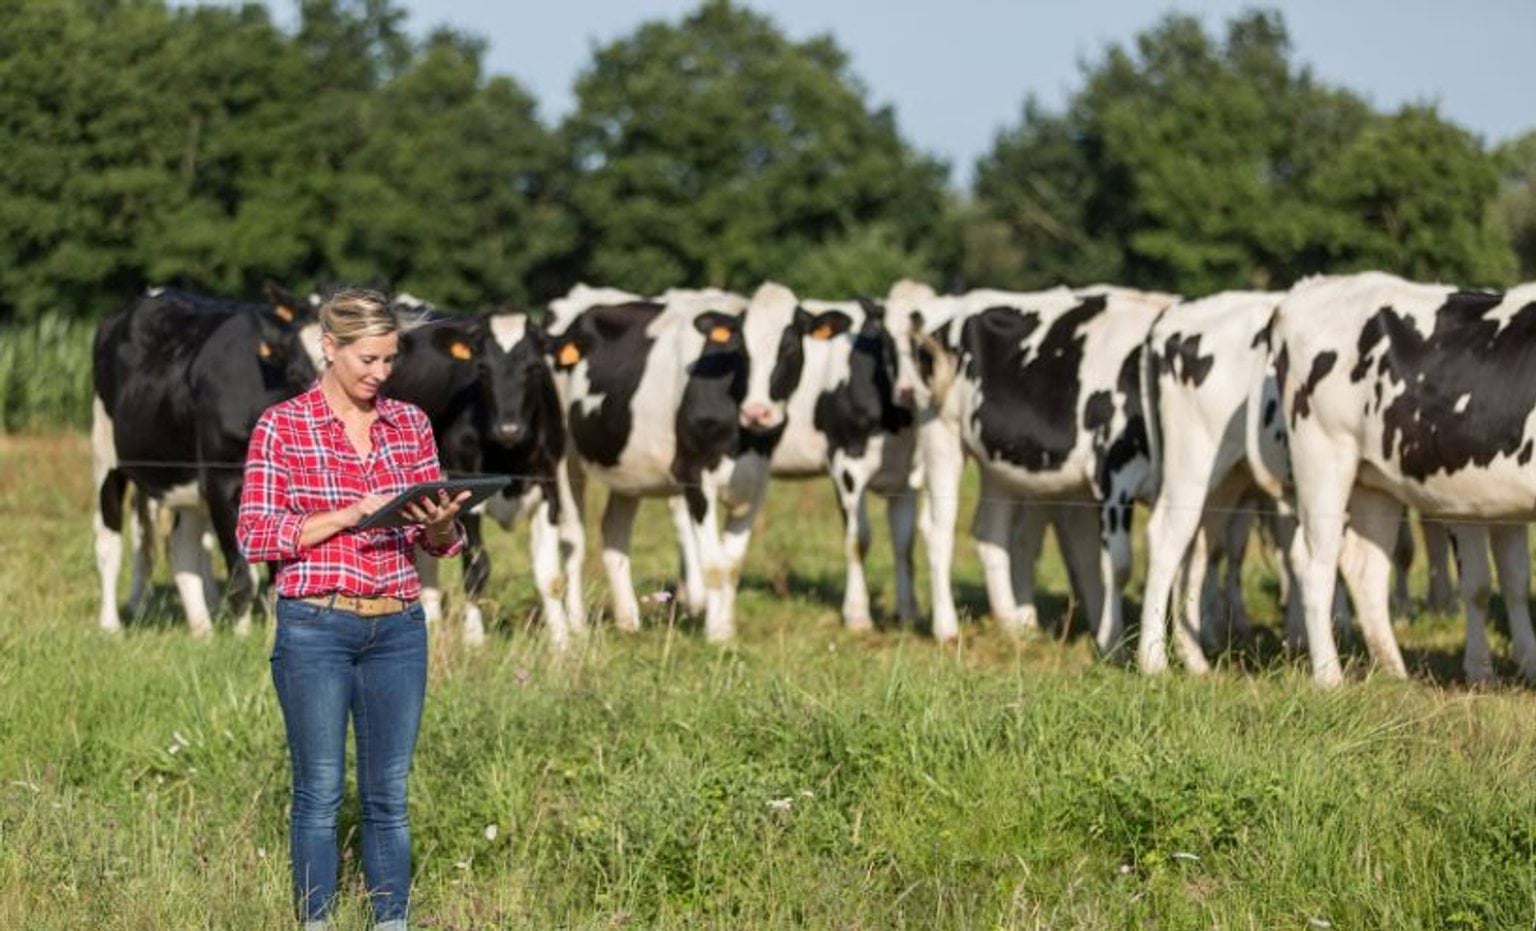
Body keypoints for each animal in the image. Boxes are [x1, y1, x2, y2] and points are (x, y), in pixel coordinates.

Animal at [92, 284, 318, 636]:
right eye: (297, 374)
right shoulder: (220, 482)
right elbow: (242, 575)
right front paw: (242, 636)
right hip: (106, 454)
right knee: (109, 542)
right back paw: (111, 625)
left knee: (181, 547)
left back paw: (202, 629)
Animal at [889, 282, 1176, 651]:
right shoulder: (1113, 477)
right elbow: (1119, 564)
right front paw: (1114, 644)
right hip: (940, 433)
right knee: (938, 529)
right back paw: (947, 629)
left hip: (999, 459)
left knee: (991, 531)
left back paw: (1011, 624)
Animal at [1253, 271, 1536, 686]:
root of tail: (1312, 288)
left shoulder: (1502, 506)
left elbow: (1513, 581)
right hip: (1323, 455)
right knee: (1314, 563)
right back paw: (1329, 676)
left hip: (1372, 482)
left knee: (1365, 569)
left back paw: (1393, 671)